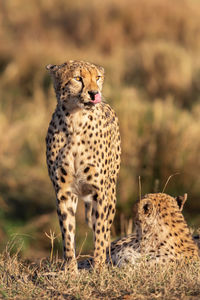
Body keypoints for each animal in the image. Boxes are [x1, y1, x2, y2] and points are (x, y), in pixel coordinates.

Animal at [45, 59, 120, 270]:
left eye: (98, 77)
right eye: (78, 78)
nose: (94, 93)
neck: (75, 119)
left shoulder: (101, 190)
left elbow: (101, 231)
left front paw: (99, 267)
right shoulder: (63, 191)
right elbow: (67, 231)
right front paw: (70, 270)